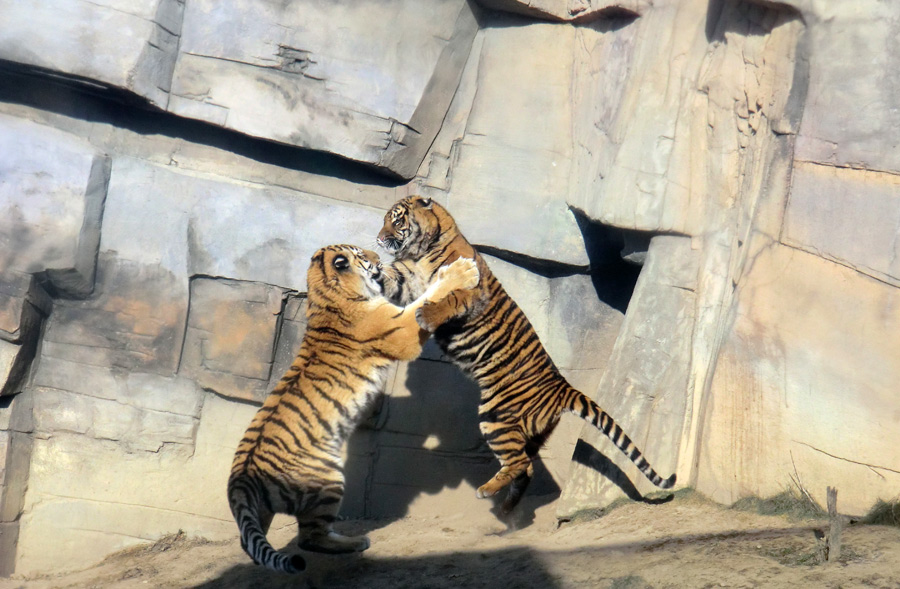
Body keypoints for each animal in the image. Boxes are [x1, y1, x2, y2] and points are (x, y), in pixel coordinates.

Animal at [225, 241, 478, 572]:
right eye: (360, 255)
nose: (379, 259)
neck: (325, 295)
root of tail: (242, 477)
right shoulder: (400, 329)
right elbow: (424, 300)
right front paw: (461, 270)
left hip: (262, 509)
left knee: (251, 541)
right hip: (329, 479)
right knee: (310, 538)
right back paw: (355, 542)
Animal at [372, 196, 676, 516]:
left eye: (396, 220)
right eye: (385, 220)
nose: (379, 238)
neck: (420, 252)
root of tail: (563, 386)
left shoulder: (471, 291)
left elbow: (450, 298)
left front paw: (426, 315)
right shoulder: (405, 280)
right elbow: (387, 277)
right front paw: (364, 263)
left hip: (495, 415)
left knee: (520, 463)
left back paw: (487, 493)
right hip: (525, 431)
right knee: (525, 467)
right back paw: (507, 507)